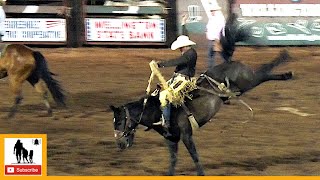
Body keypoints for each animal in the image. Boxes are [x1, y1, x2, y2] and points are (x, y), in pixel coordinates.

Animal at [109, 13, 292, 175]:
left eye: (120, 122)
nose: (120, 144)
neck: (157, 111)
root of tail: (229, 62)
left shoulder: (186, 135)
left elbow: (195, 157)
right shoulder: (171, 140)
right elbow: (173, 161)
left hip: (249, 80)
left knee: (264, 72)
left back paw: (286, 66)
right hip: (244, 86)